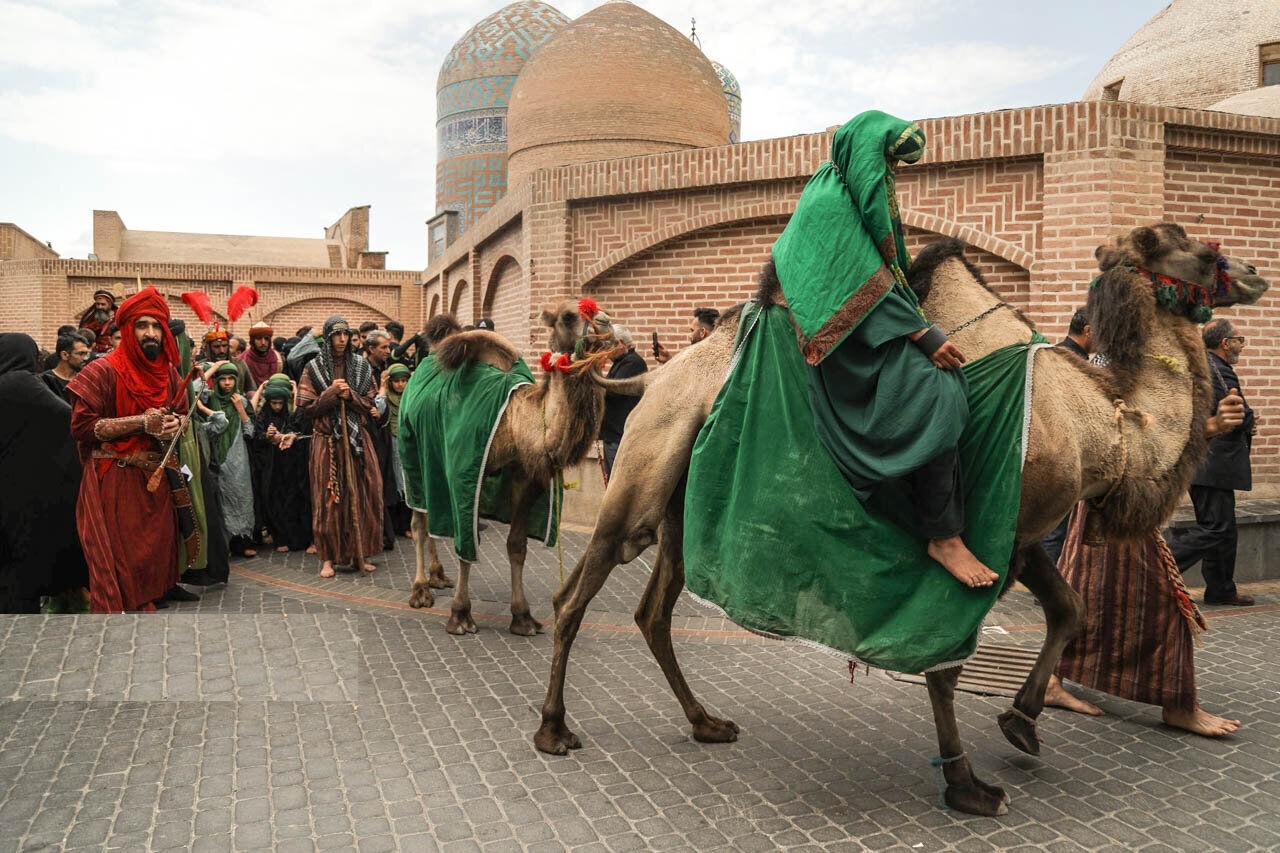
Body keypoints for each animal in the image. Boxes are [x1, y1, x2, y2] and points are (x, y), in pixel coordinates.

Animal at [407, 295, 627, 635]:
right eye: (567, 316)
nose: (603, 322)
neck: (514, 421)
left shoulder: (526, 477)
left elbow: (517, 545)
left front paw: (523, 617)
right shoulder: (466, 474)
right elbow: (467, 545)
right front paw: (460, 615)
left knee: (431, 518)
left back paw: (438, 576)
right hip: (413, 453)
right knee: (419, 521)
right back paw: (420, 591)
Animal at [532, 222, 1269, 814]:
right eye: (1202, 251)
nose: (1257, 274)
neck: (1102, 425)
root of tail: (654, 376)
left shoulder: (1025, 533)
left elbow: (1070, 609)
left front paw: (1023, 721)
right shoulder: (993, 534)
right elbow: (946, 663)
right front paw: (969, 786)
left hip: (683, 510)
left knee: (653, 611)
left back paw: (707, 722)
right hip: (641, 474)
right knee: (574, 596)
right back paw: (554, 730)